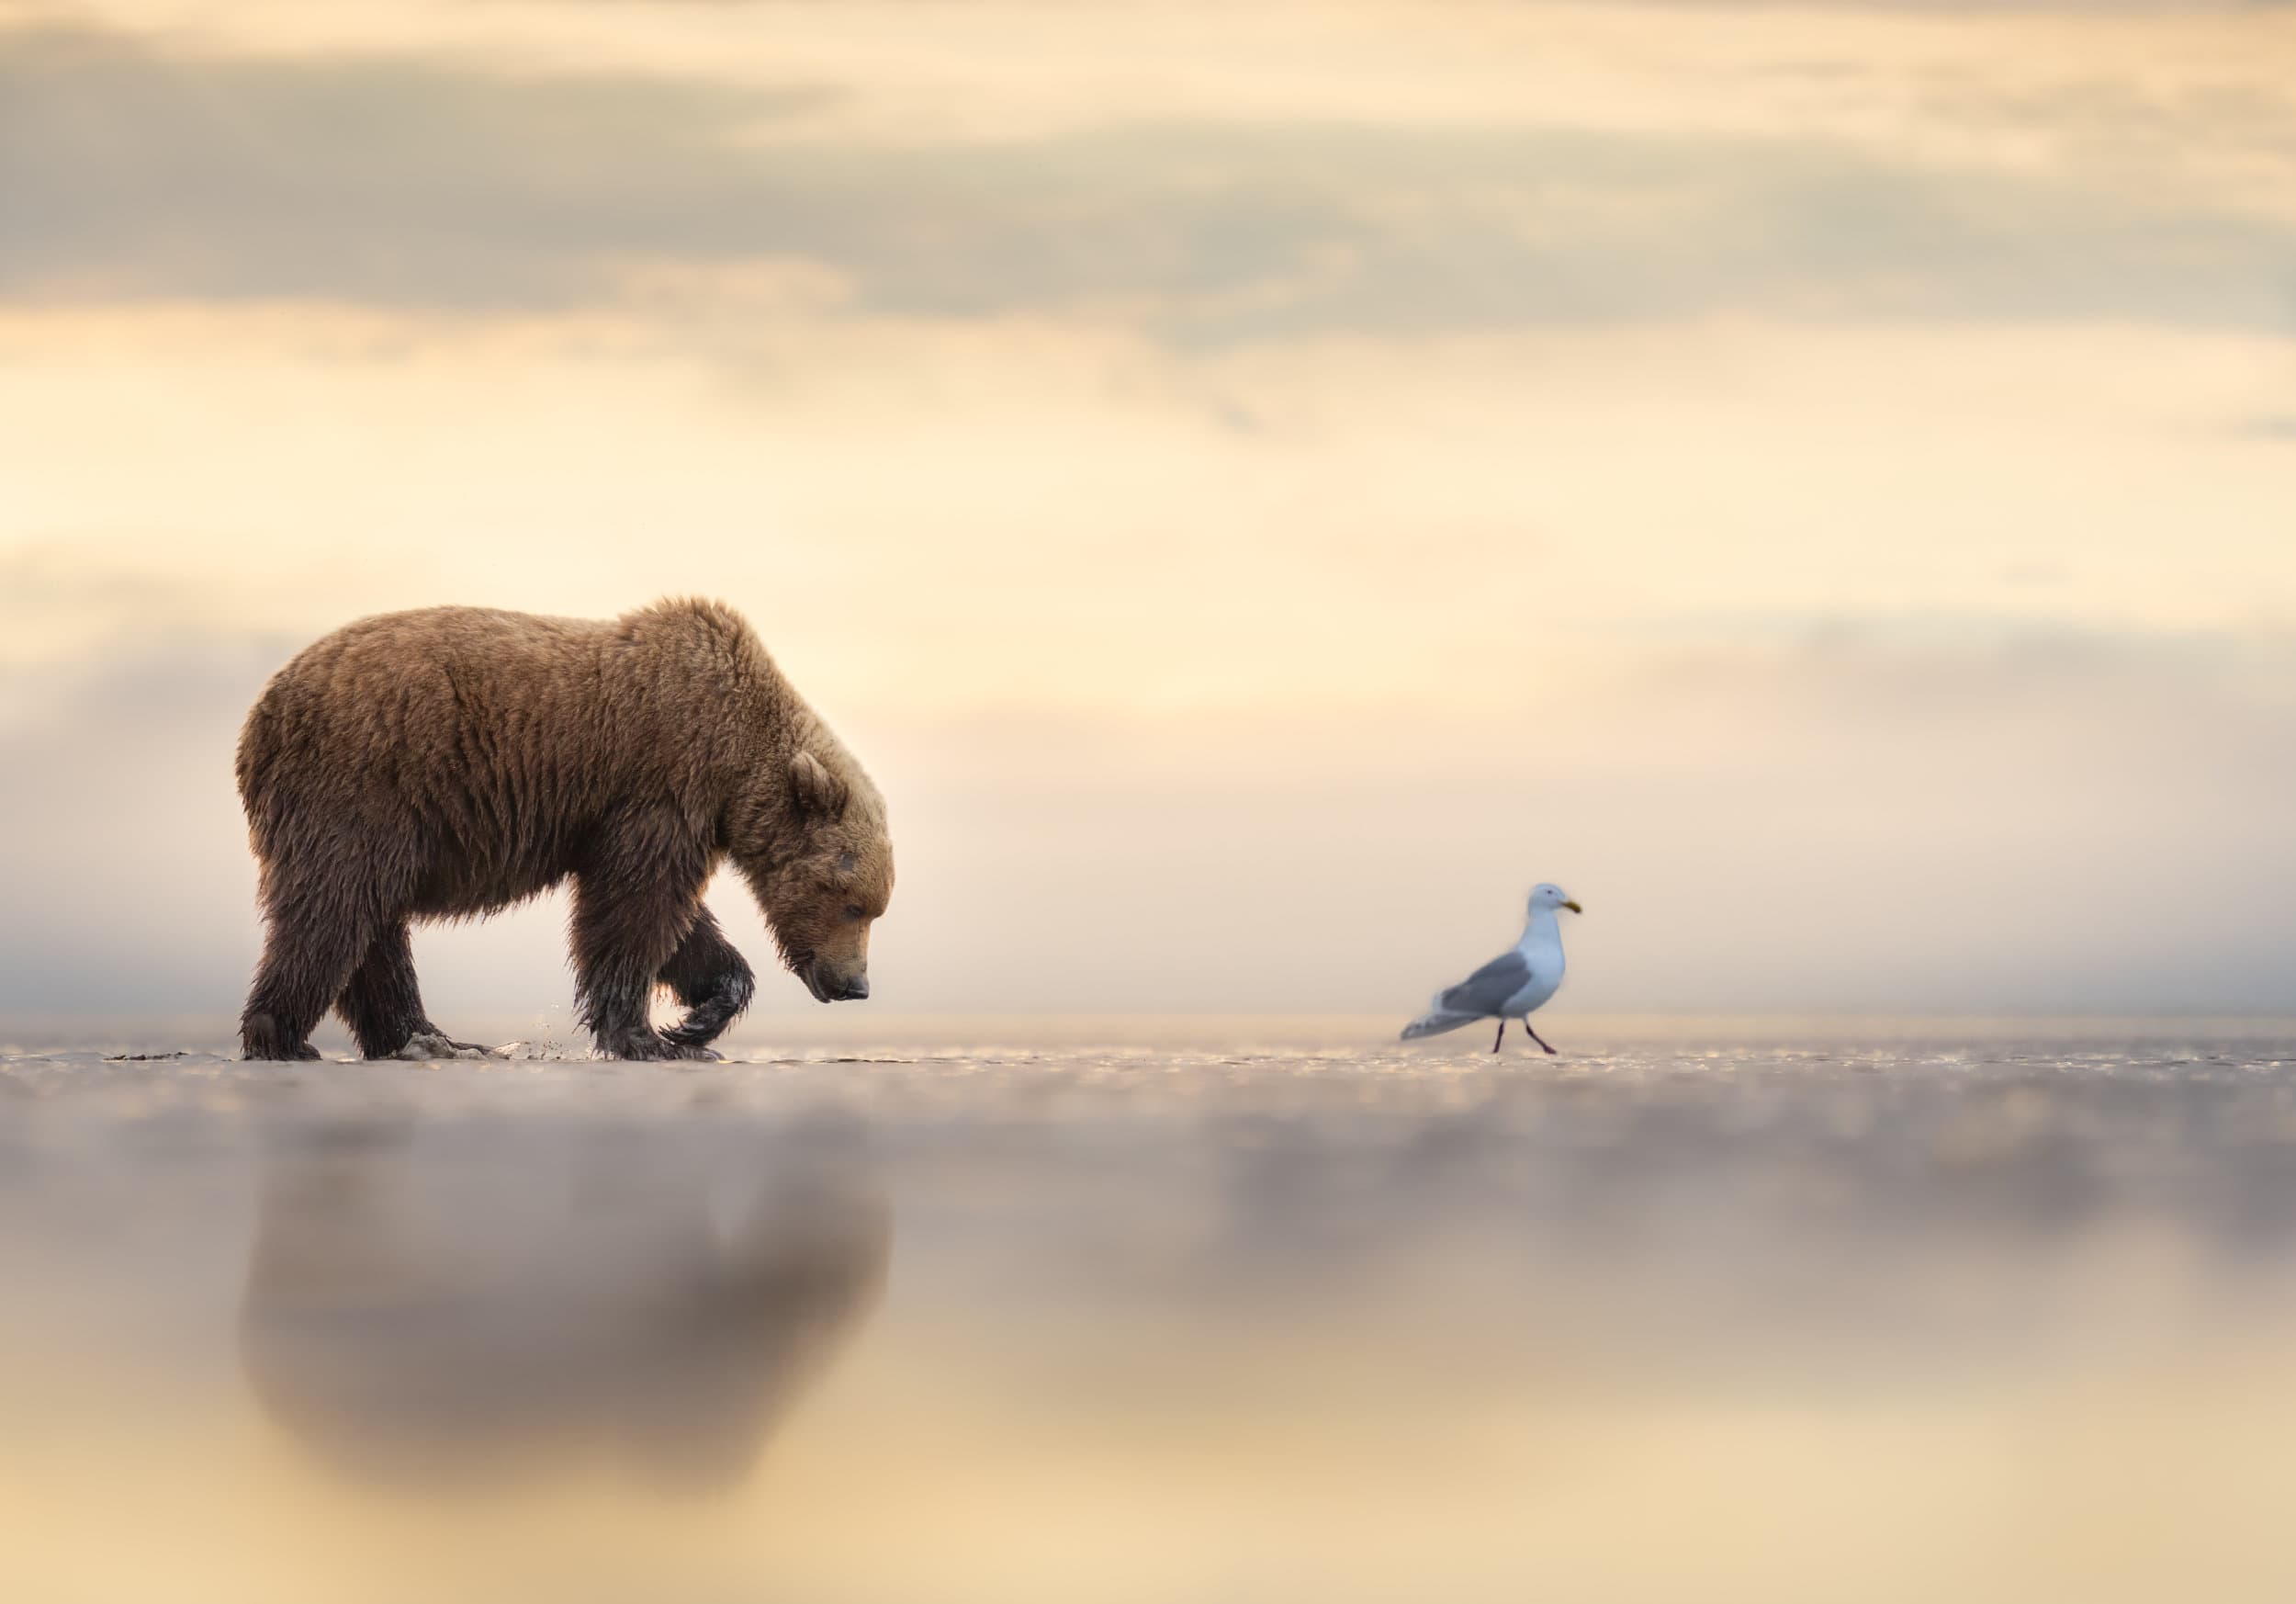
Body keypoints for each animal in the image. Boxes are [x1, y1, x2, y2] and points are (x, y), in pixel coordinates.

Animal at [234, 598, 892, 1061]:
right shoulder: (662, 784)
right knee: (336, 906)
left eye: (875, 908)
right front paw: (646, 1037)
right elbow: (634, 908)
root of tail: (261, 714)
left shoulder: (661, 814)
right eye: (854, 905)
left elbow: (675, 920)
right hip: (363, 785)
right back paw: (282, 1035)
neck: (736, 760)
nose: (856, 985)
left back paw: (426, 1037)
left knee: (372, 923)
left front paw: (698, 1020)